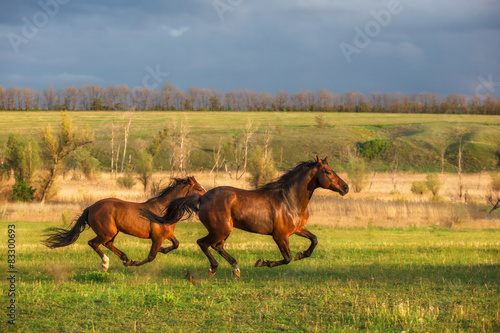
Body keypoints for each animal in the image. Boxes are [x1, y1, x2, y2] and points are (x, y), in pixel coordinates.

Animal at [43, 176, 205, 270]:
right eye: (198, 188)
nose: (206, 196)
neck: (162, 211)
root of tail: (90, 208)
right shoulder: (157, 237)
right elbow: (151, 257)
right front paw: (135, 263)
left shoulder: (168, 234)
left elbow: (176, 244)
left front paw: (162, 250)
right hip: (107, 232)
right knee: (93, 243)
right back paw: (106, 263)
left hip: (113, 232)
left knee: (107, 244)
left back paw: (125, 258)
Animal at [142, 157, 348, 276]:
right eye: (328, 172)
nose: (345, 188)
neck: (289, 200)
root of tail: (202, 197)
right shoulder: (280, 236)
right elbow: (287, 258)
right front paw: (263, 262)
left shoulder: (297, 229)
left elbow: (314, 240)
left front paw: (302, 254)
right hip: (221, 229)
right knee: (204, 243)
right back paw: (215, 267)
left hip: (224, 230)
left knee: (217, 246)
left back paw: (235, 268)